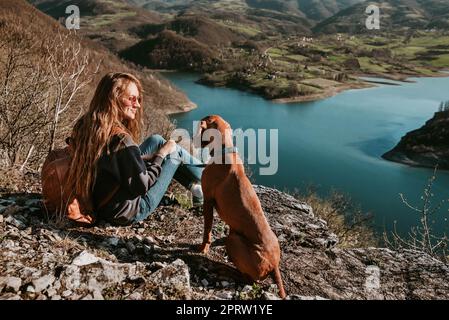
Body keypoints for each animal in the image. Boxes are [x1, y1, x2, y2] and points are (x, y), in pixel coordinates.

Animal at [193, 114, 286, 298]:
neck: (224, 151)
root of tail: (274, 265)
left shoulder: (208, 201)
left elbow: (207, 230)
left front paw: (203, 247)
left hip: (234, 241)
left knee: (249, 280)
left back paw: (227, 271)